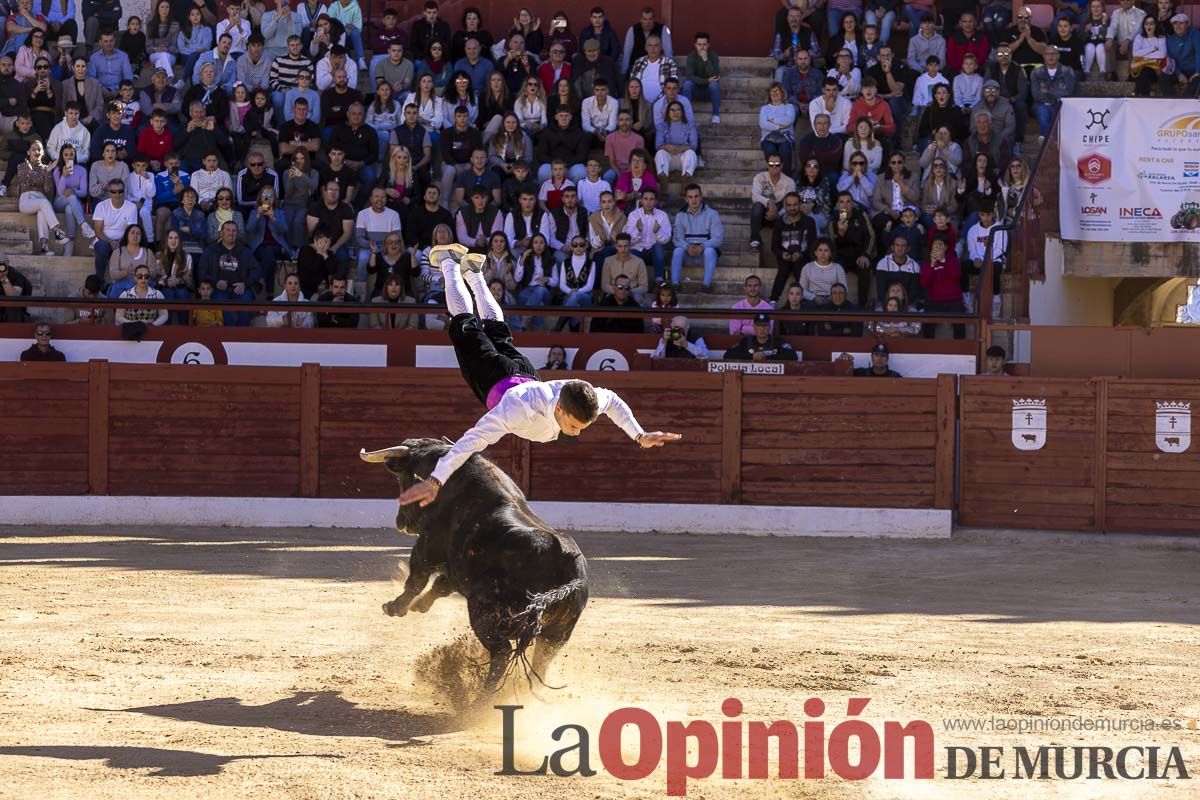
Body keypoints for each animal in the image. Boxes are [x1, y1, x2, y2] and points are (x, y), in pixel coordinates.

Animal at [357, 434, 588, 690]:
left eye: (403, 479)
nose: (400, 522)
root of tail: (563, 559)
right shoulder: (455, 567)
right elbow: (440, 585)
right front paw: (419, 606)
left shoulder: (427, 546)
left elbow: (416, 579)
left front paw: (395, 607)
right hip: (557, 635)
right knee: (542, 660)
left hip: (484, 613)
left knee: (501, 653)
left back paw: (481, 697)